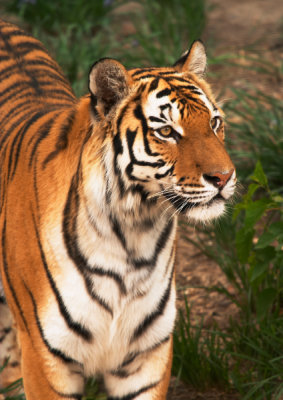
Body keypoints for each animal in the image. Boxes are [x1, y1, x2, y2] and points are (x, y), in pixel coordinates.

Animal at [0, 18, 236, 400]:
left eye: (214, 123)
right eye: (167, 131)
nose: (224, 177)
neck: (132, 236)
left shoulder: (145, 357)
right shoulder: (45, 358)